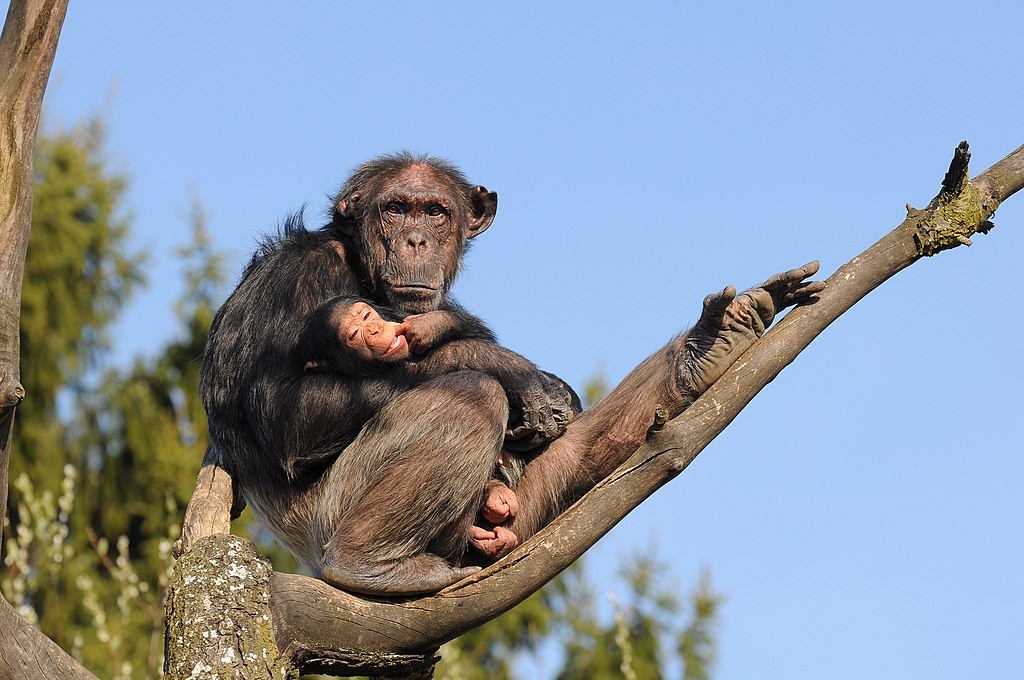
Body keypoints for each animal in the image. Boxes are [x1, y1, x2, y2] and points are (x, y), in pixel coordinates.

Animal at [201, 152, 823, 593]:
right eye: (394, 209)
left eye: (435, 212)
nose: (416, 238)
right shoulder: (300, 278)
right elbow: (284, 411)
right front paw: (514, 371)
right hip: (330, 515)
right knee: (471, 399)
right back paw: (370, 564)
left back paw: (708, 348)